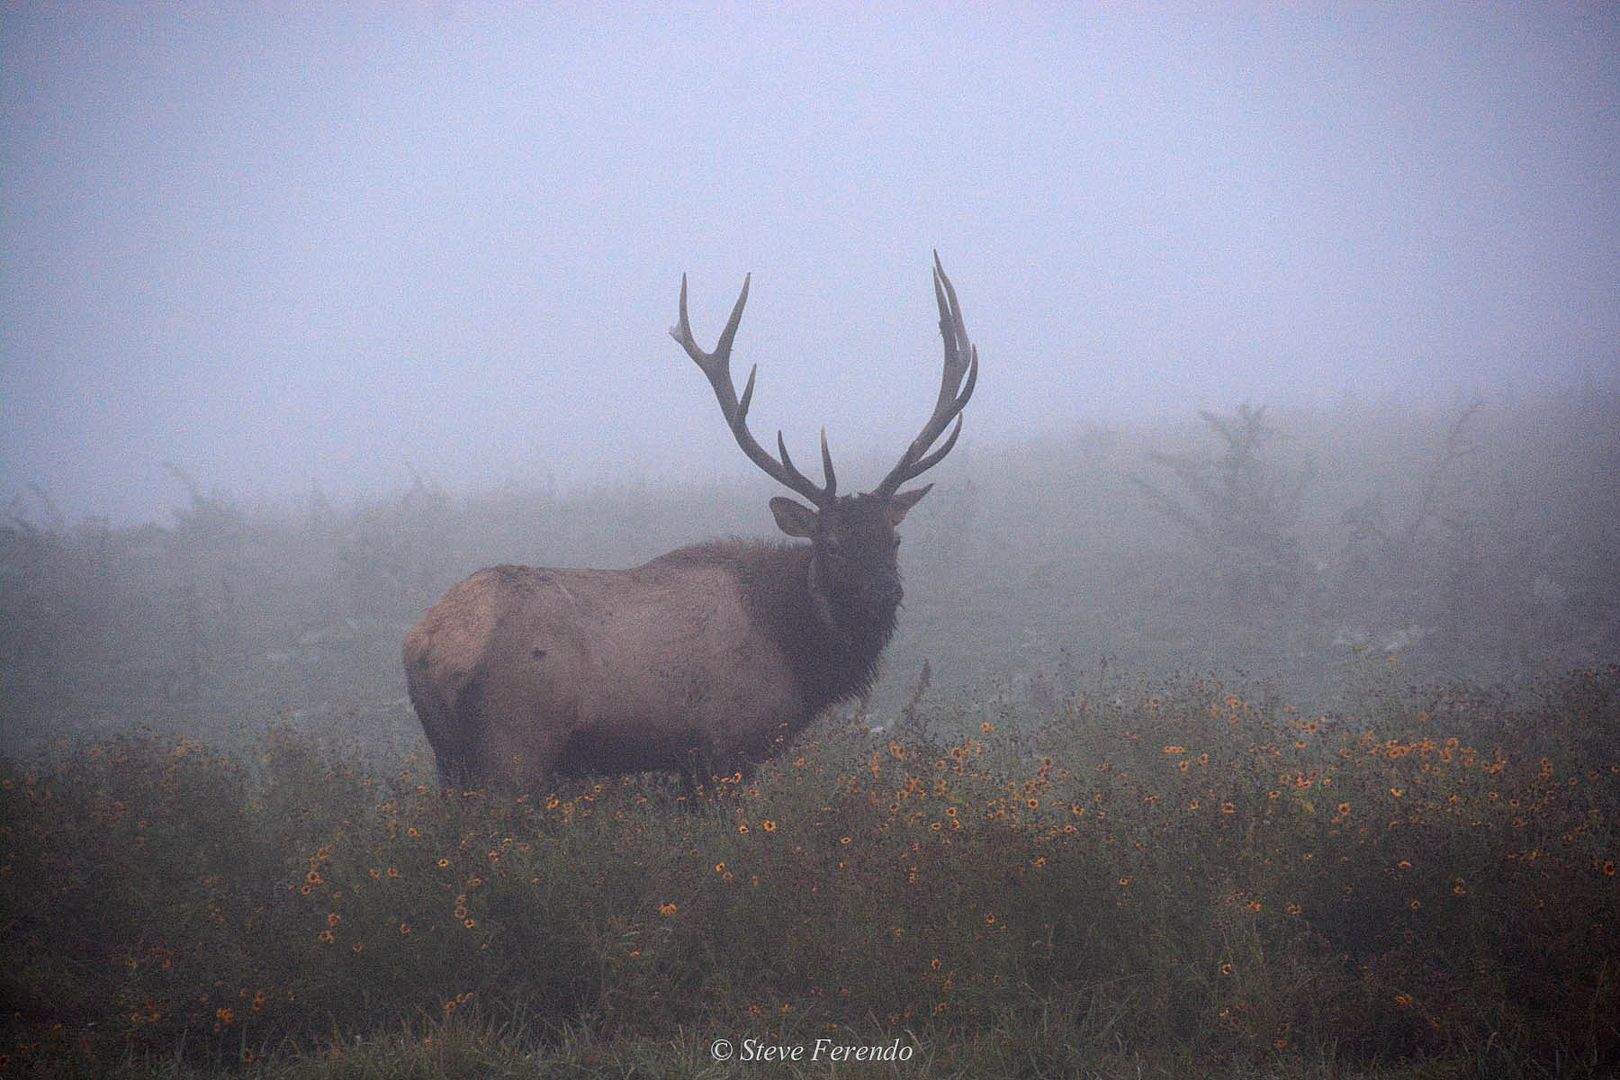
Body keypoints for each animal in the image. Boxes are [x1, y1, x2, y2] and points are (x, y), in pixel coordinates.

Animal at [403, 254, 972, 793]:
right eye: (830, 544)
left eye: (894, 539)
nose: (886, 592)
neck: (793, 645)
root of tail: (422, 643)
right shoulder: (723, 746)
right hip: (513, 745)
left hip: (453, 760)